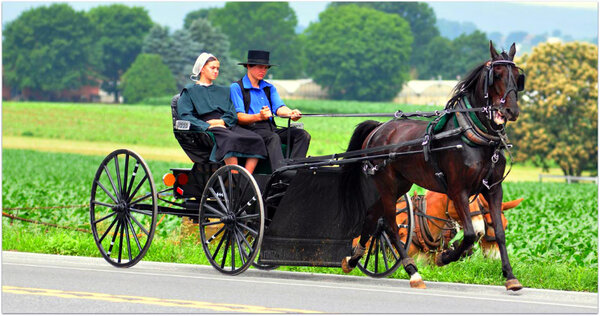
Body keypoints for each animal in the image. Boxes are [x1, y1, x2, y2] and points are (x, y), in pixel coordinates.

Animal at [340, 42, 528, 292]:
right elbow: (469, 234)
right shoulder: (458, 190)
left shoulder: (494, 189)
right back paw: (413, 272)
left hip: (399, 185)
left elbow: (499, 232)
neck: (473, 137)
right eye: (496, 75)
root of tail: (379, 128)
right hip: (386, 184)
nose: (511, 111)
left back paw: (353, 259)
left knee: (372, 216)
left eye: (518, 77)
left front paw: (510, 276)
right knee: (389, 224)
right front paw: (445, 257)